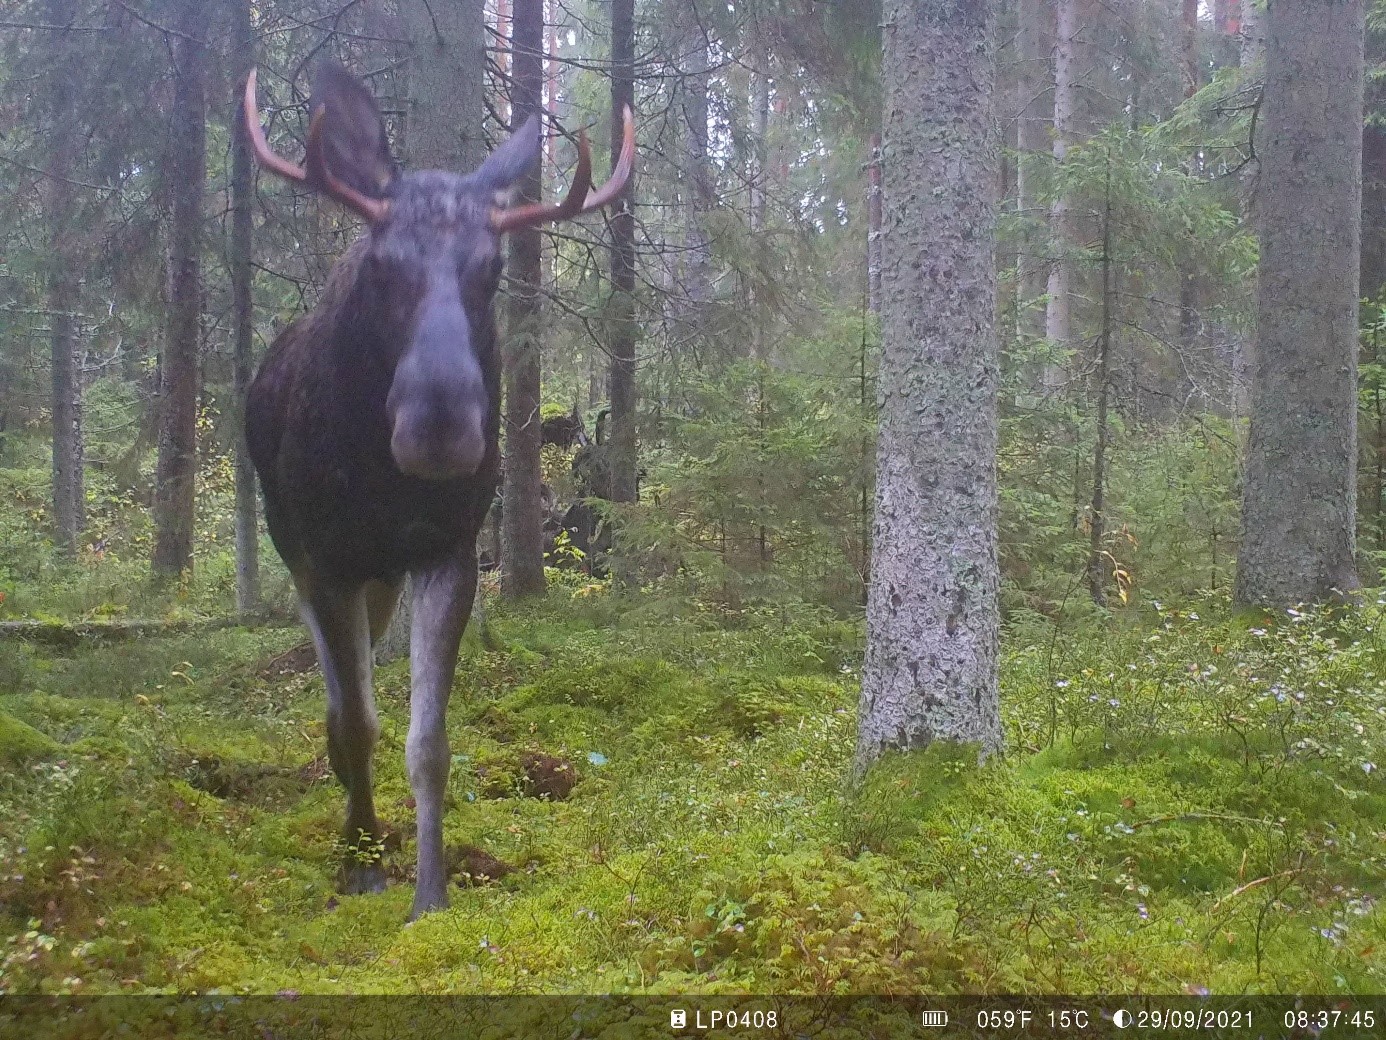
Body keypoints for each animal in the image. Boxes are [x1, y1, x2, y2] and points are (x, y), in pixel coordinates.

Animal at [246, 63, 634, 920]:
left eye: (491, 270)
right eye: (380, 263)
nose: (441, 426)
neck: (386, 490)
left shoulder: (445, 552)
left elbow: (429, 741)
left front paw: (430, 890)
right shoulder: (329, 560)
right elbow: (359, 723)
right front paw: (360, 862)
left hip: (383, 577)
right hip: (299, 556)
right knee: (336, 701)